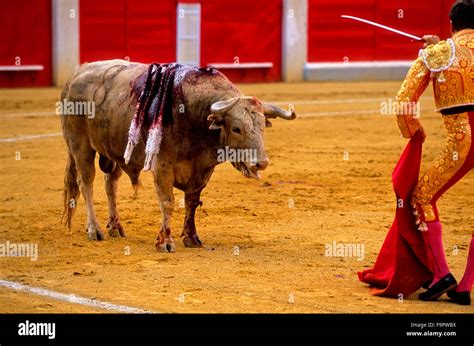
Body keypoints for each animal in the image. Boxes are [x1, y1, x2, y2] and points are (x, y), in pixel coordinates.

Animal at [60, 60, 294, 251]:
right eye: (237, 128)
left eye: (263, 126)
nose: (261, 163)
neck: (195, 117)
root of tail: (75, 76)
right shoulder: (162, 167)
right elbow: (168, 202)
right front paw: (164, 241)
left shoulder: (202, 170)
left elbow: (192, 202)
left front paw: (192, 238)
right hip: (80, 145)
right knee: (86, 184)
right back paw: (95, 230)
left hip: (114, 151)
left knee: (111, 186)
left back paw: (115, 226)